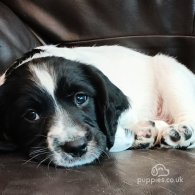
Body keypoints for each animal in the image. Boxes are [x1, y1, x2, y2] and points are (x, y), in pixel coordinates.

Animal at [0, 45, 195, 167]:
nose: (75, 147)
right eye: (31, 115)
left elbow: (111, 137)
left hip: (170, 71)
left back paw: (179, 133)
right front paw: (142, 134)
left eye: (81, 98)